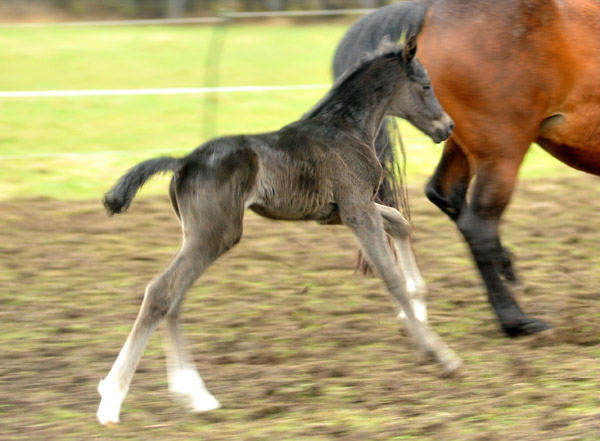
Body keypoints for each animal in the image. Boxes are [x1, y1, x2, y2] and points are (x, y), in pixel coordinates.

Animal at [332, 0, 600, 336]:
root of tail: (430, 10)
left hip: (457, 141)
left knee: (444, 194)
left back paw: (506, 269)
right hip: (501, 154)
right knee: (478, 226)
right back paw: (514, 319)